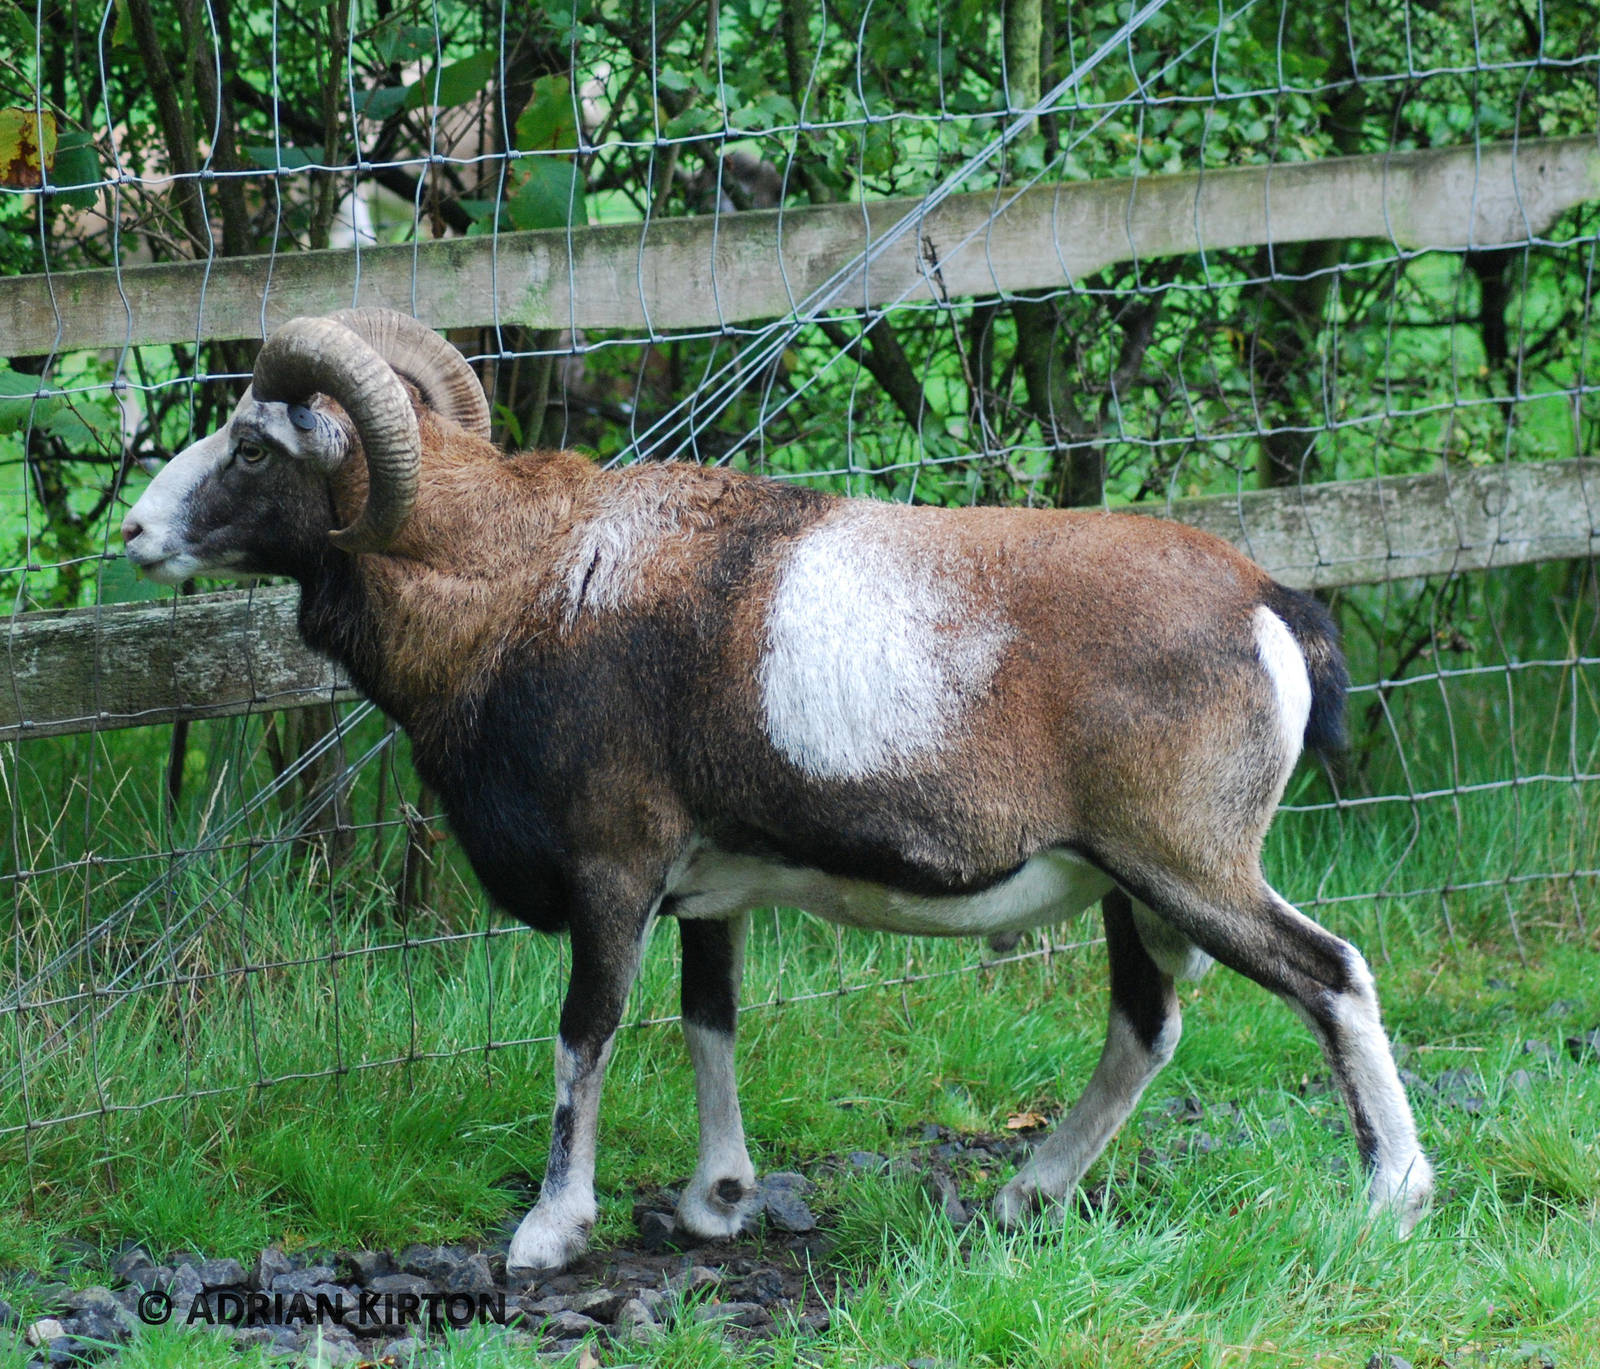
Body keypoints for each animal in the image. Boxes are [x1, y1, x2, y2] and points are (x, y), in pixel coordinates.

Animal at [121, 307, 1434, 1274]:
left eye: (251, 446)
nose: (135, 532)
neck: (525, 584)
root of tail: (1271, 605)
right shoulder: (710, 895)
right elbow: (711, 1020)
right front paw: (715, 1202)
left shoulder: (614, 877)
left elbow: (585, 1036)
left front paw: (548, 1234)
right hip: (1136, 888)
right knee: (1145, 1026)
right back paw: (1024, 1196)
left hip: (1185, 866)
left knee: (1329, 978)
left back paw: (1391, 1195)